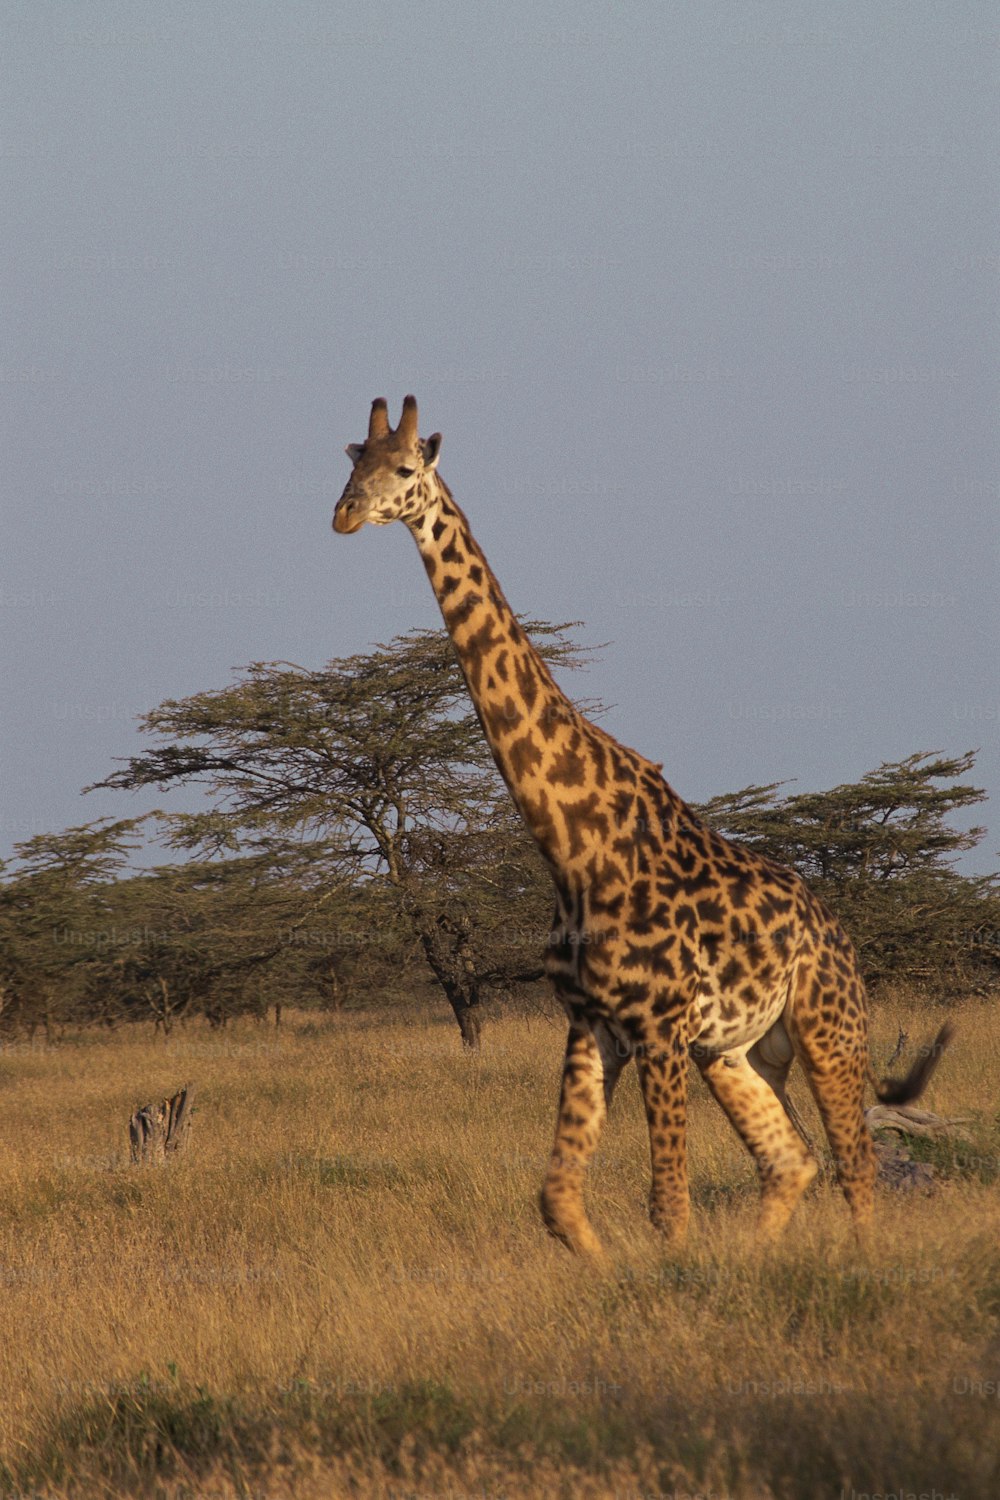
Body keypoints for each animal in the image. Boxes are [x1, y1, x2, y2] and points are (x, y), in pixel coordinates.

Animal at [332, 396, 953, 1254]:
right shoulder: (594, 1024)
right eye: (349, 461)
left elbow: (669, 1208)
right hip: (735, 1052)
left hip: (829, 1029)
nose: (344, 514)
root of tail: (835, 929)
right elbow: (559, 1198)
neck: (571, 846)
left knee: (857, 1166)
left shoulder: (658, 1029)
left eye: (403, 469)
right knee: (792, 1160)